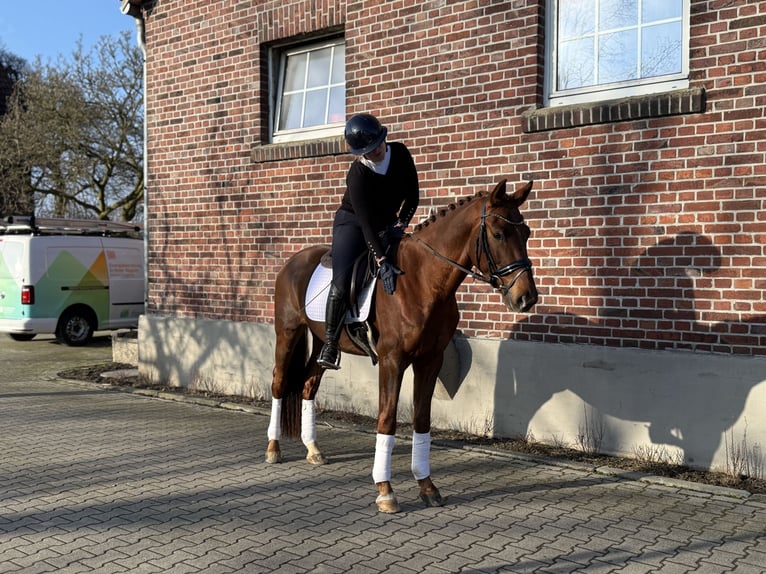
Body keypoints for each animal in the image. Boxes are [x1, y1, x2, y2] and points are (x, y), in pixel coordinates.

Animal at [265, 178, 538, 513]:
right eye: (499, 234)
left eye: (527, 233)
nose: (526, 298)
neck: (421, 281)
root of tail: (292, 261)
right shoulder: (392, 361)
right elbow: (387, 419)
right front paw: (385, 491)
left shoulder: (430, 360)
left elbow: (422, 419)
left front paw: (427, 486)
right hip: (288, 333)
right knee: (279, 383)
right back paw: (273, 449)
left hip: (320, 344)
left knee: (307, 385)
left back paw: (314, 450)